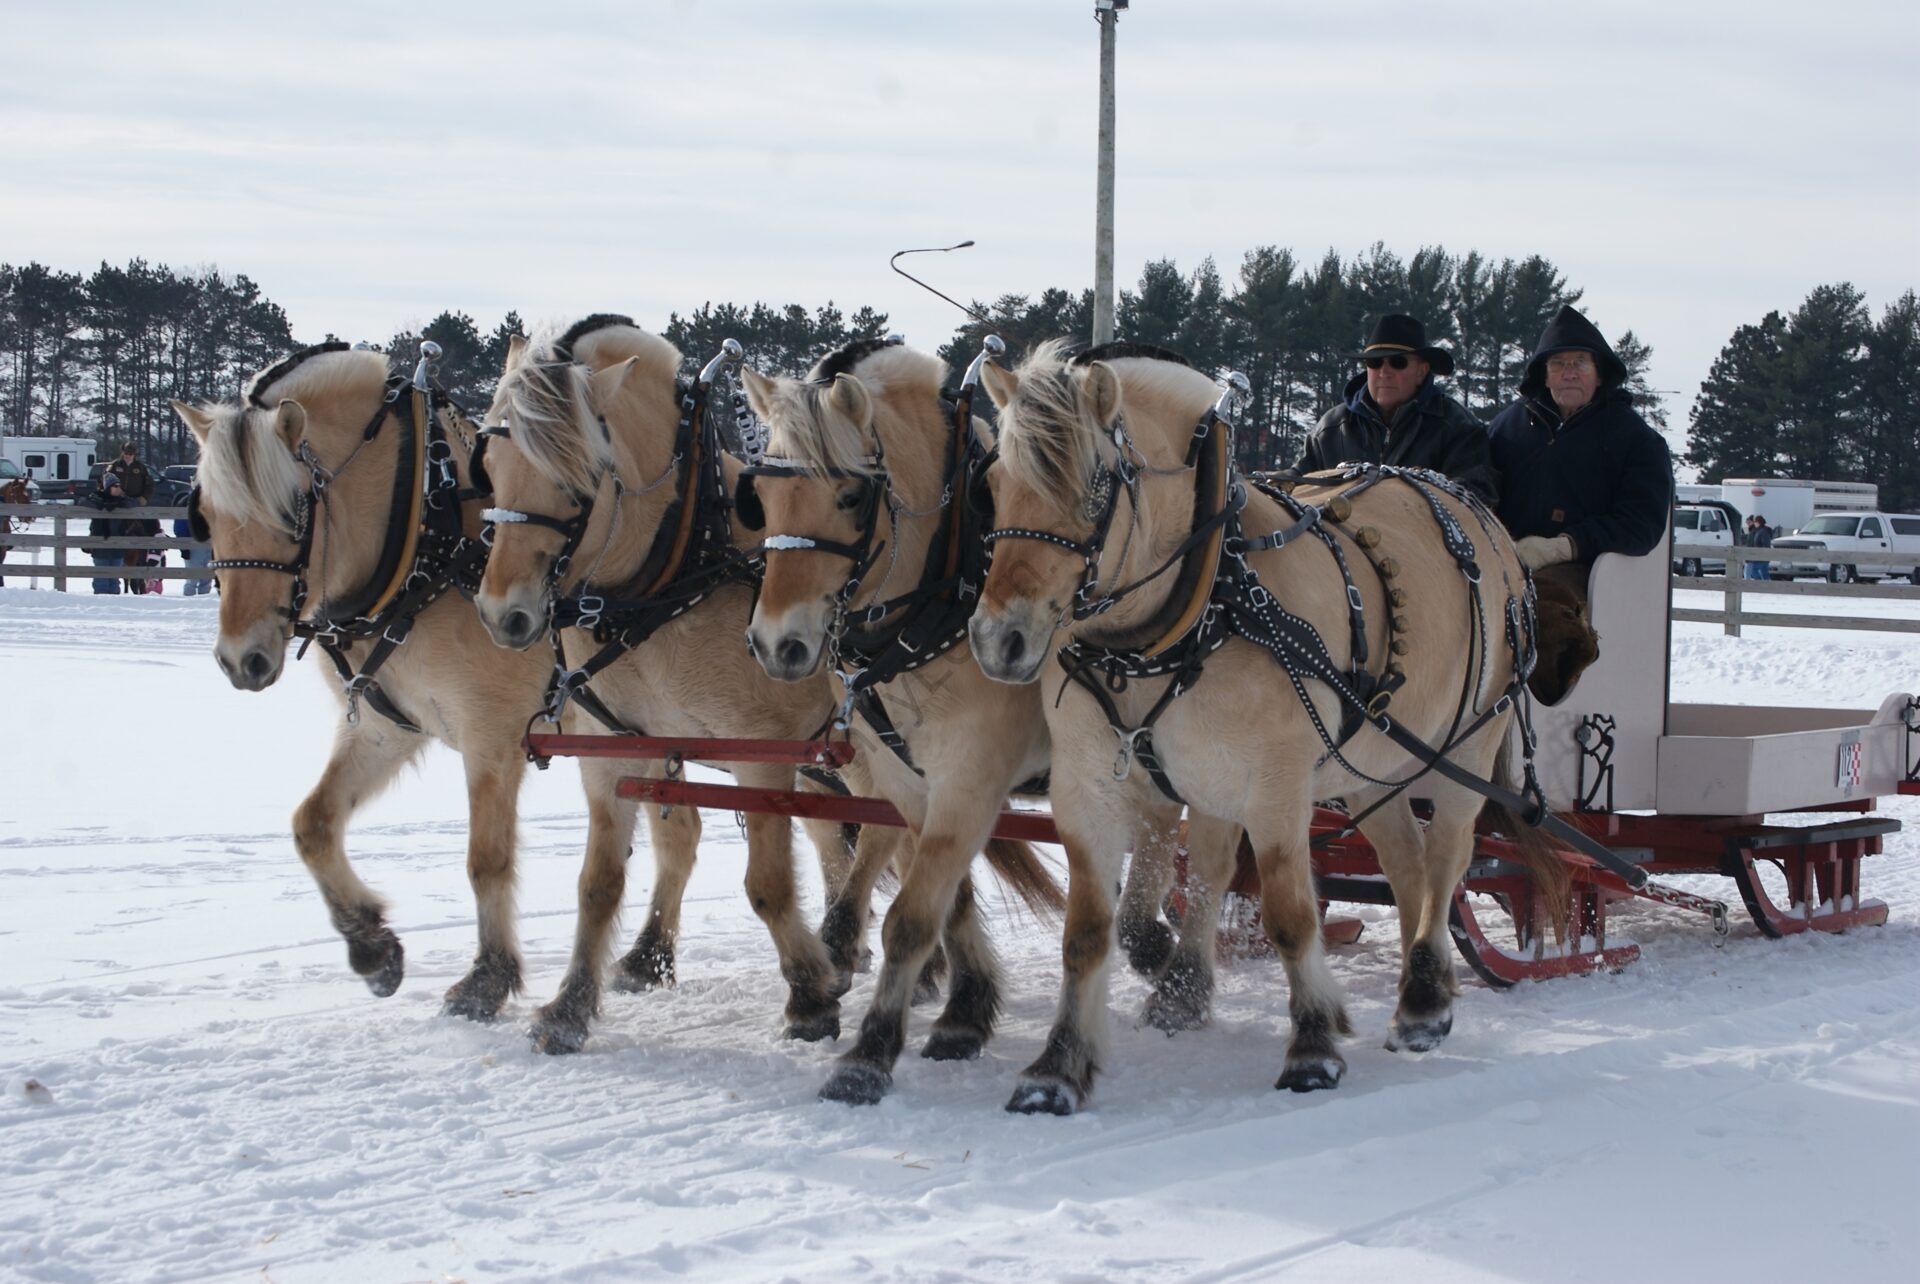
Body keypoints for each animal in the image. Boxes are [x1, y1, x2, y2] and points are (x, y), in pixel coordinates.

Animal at [975, 339, 1559, 1113]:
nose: (998, 641)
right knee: (1404, 861)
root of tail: (1485, 521)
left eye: (1094, 488)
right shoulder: (1094, 786)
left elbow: (1288, 911)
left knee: (1447, 859)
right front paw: (1059, 1066)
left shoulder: (1277, 785)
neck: (1200, 607)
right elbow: (1093, 928)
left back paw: (1425, 1001)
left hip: (1464, 744)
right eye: (993, 480)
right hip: (1366, 766)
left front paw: (1312, 1044)